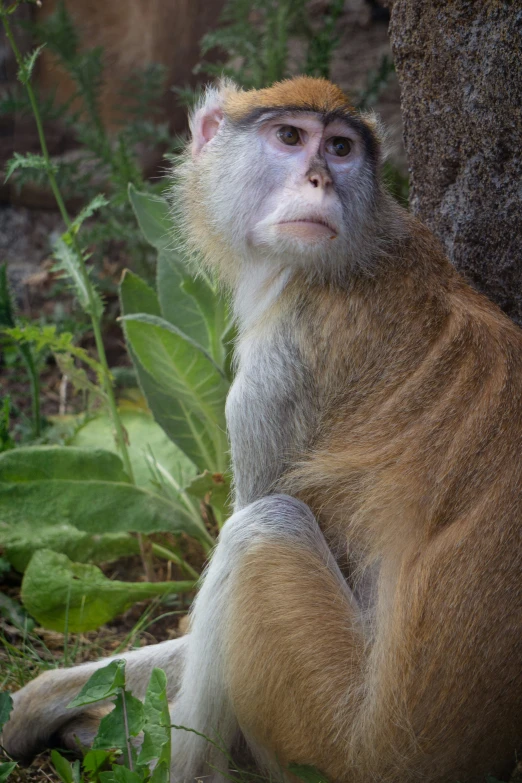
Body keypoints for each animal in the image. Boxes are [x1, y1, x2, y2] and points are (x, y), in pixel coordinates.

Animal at [3, 75, 520, 783]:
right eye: (291, 137)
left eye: (341, 147)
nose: (320, 180)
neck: (359, 252)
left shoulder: (280, 368)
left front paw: (33, 707)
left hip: (327, 739)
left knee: (261, 528)